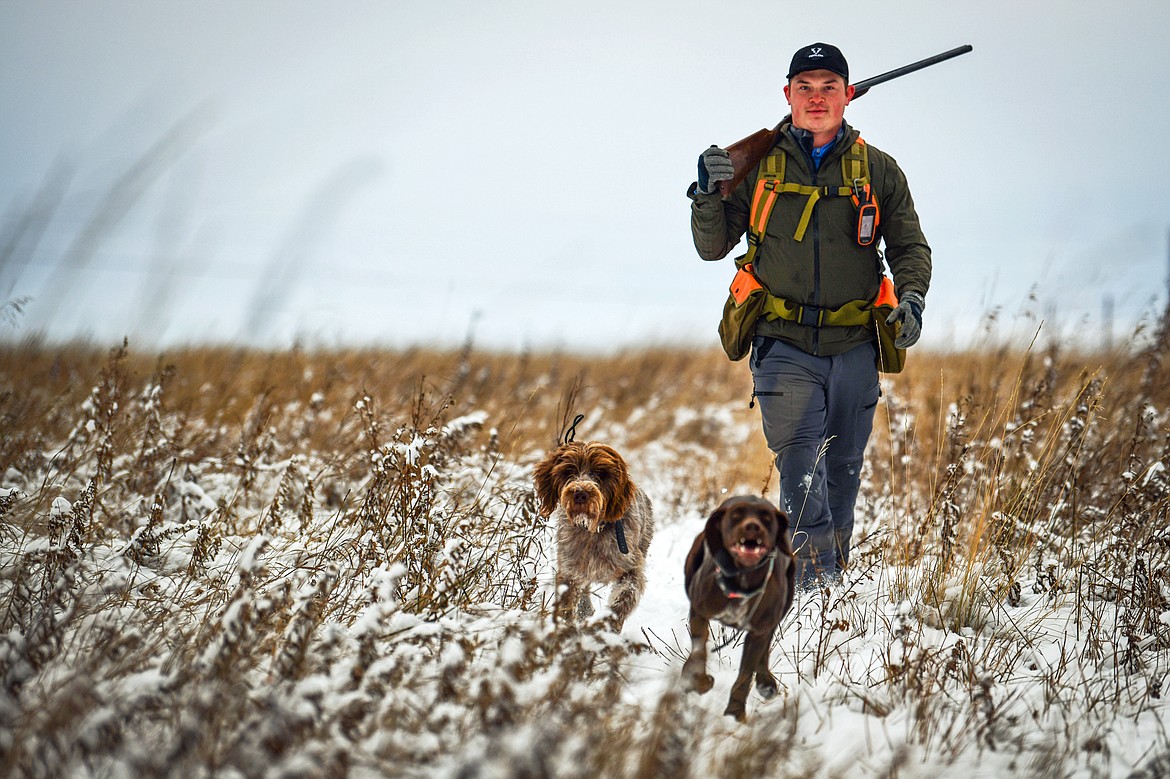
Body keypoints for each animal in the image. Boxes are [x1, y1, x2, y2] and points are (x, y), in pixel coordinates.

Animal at [533, 439, 655, 626]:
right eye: (569, 471)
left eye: (601, 473)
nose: (580, 493)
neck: (594, 530)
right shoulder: (570, 571)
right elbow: (567, 604)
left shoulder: (632, 568)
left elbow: (624, 597)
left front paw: (607, 626)